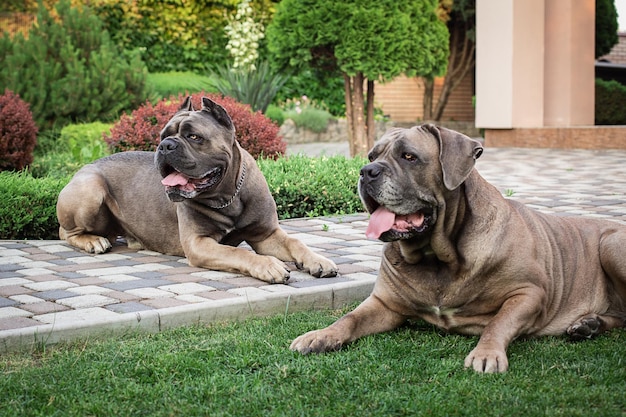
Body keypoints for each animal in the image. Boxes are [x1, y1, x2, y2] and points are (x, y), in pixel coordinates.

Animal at [57, 96, 336, 282]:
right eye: (162, 136)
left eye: (194, 137)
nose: (166, 145)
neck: (227, 196)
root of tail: (85, 167)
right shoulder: (199, 243)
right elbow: (237, 253)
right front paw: (269, 265)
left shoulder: (266, 235)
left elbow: (296, 242)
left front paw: (318, 260)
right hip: (90, 189)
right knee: (65, 232)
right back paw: (93, 241)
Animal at [288, 123, 624, 370]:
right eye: (372, 156)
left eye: (409, 157)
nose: (366, 171)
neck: (438, 257)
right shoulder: (385, 304)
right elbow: (350, 318)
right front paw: (320, 336)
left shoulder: (529, 293)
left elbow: (498, 322)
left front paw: (486, 354)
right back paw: (589, 324)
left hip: (611, 245)